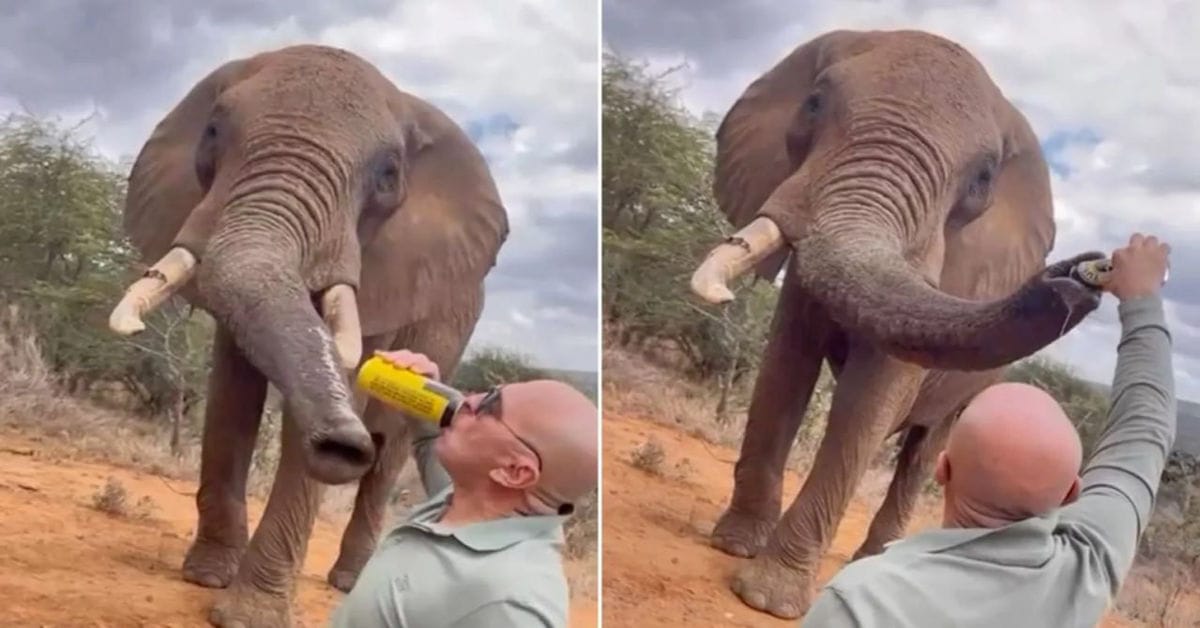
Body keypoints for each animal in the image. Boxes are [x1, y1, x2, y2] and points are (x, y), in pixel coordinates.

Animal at [106, 45, 508, 626]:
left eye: (389, 174)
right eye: (212, 132)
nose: (342, 444)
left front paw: (248, 615)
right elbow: (232, 394)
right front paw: (205, 577)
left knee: (390, 447)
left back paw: (348, 580)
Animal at [688, 29, 1104, 619]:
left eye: (982, 179)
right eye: (813, 103)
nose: (1083, 273)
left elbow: (871, 396)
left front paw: (769, 599)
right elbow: (786, 365)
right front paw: (735, 546)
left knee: (926, 448)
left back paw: (880, 558)